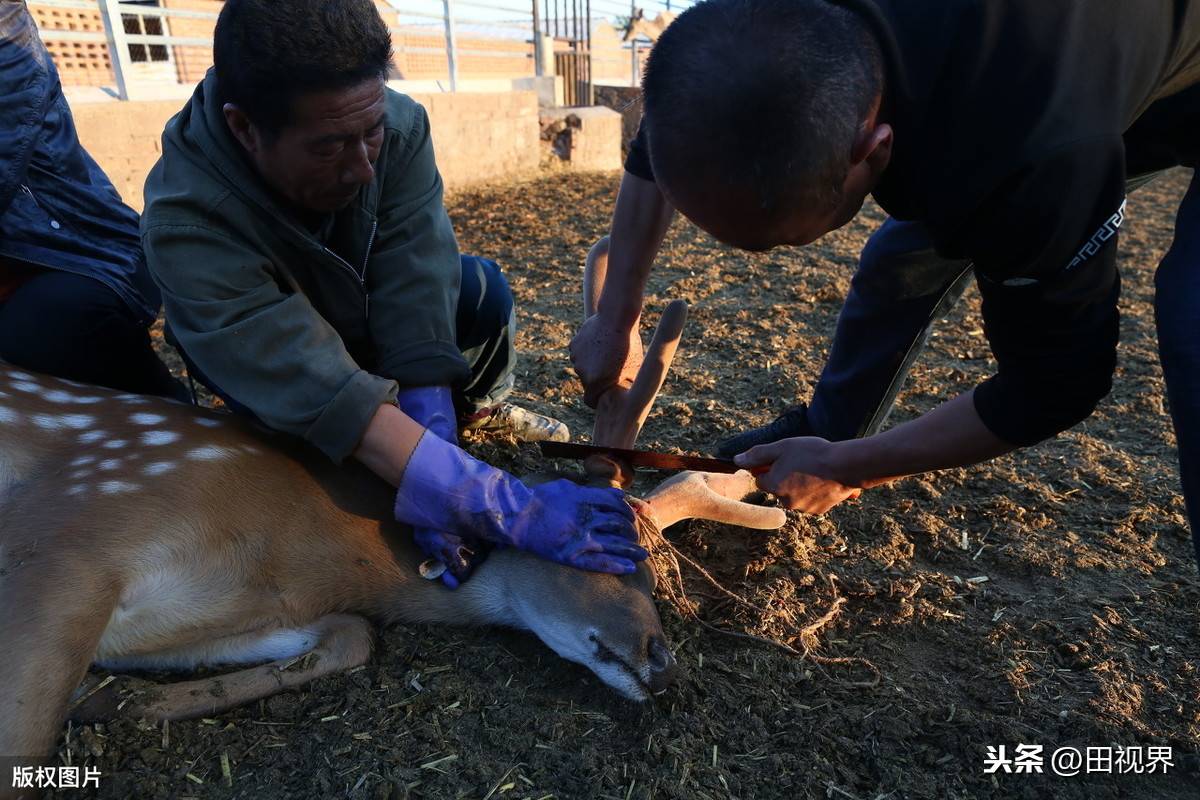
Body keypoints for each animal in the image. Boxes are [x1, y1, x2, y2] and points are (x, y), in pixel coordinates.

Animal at [0, 292, 782, 777]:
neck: (294, 551)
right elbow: (24, 738)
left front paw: (111, 700)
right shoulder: (84, 516)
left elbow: (353, 638)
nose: (663, 665)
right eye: (615, 550)